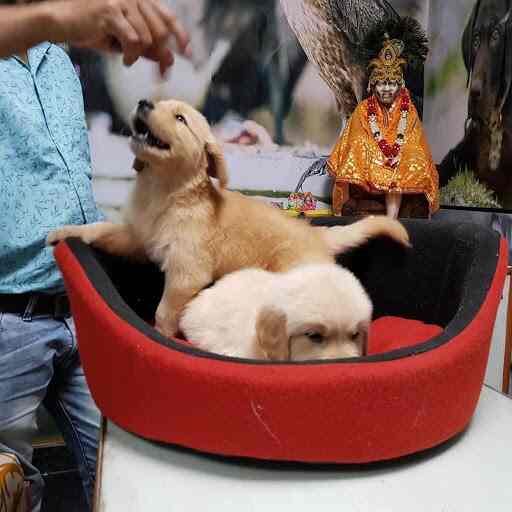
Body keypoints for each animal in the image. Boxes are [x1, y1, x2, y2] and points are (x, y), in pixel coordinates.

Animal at [47, 98, 409, 337]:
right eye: (158, 104)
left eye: (180, 118)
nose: (143, 102)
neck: (163, 191)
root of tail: (317, 235)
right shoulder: (136, 238)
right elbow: (101, 228)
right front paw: (62, 232)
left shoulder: (186, 273)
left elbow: (164, 312)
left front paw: (161, 336)